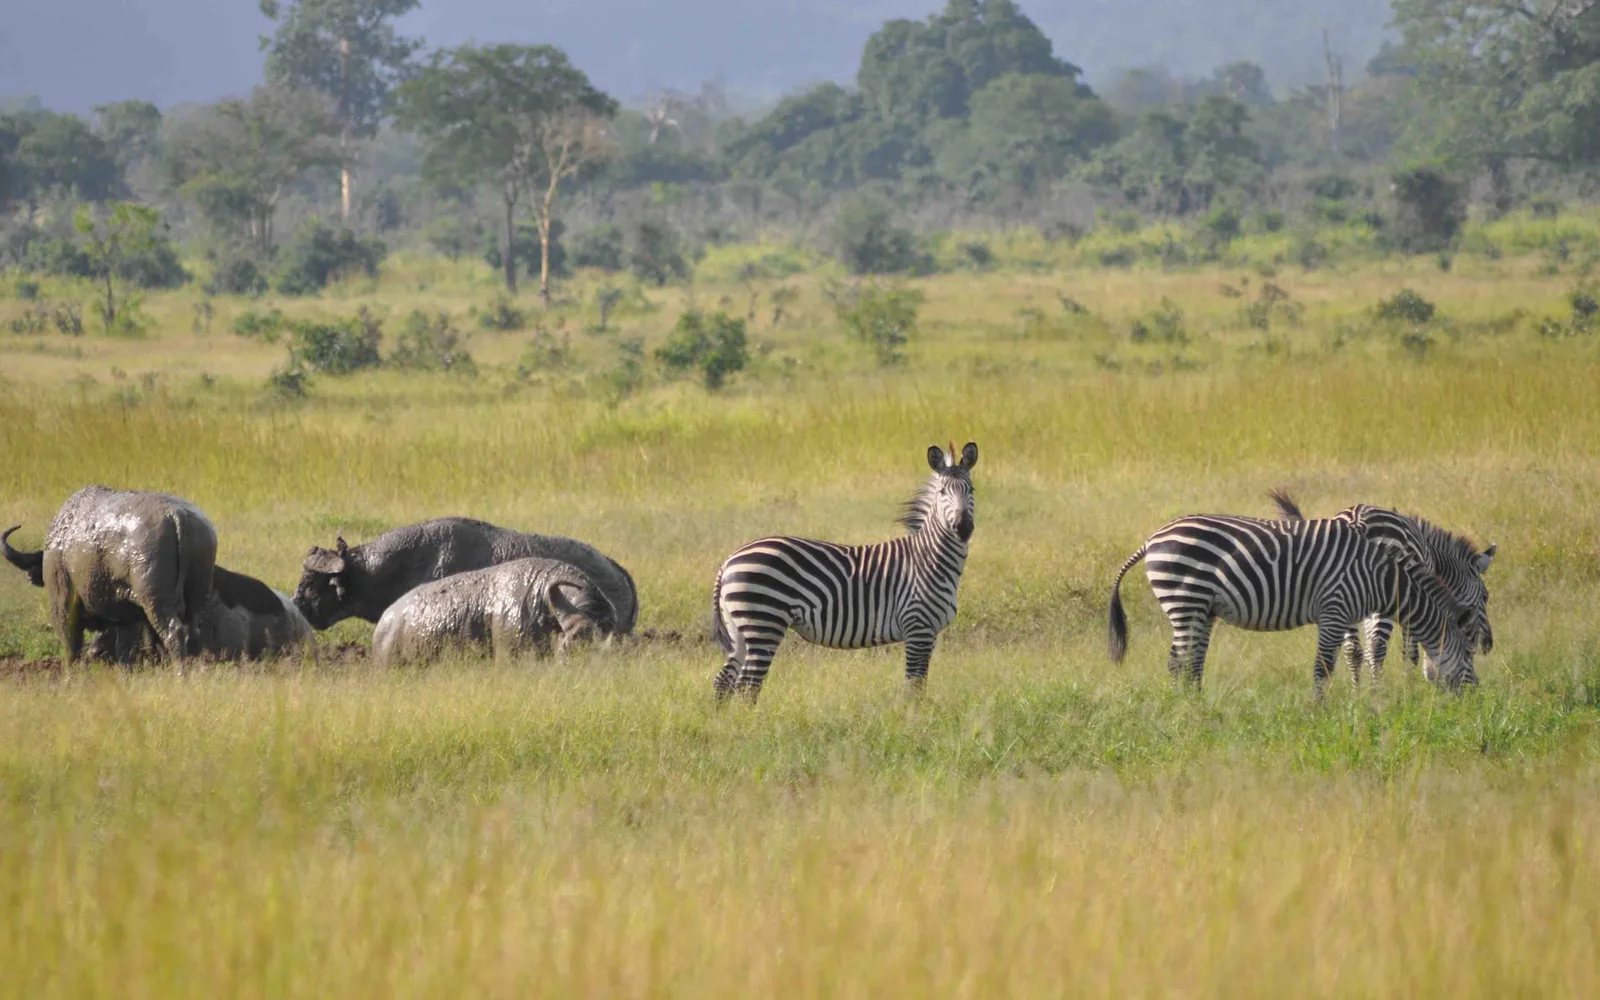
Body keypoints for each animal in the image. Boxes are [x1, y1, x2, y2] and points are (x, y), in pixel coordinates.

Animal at [711, 442, 978, 704]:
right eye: (942, 492)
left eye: (972, 490)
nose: (963, 527)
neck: (930, 559)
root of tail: (729, 561)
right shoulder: (917, 627)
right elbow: (914, 687)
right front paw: (912, 716)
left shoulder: (928, 633)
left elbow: (918, 685)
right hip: (765, 622)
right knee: (747, 686)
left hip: (740, 629)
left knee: (723, 681)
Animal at [1107, 514, 1479, 695]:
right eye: (1469, 650)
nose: (1476, 694)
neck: (1379, 577)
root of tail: (1152, 539)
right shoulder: (1334, 609)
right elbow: (1323, 668)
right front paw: (1319, 712)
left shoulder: (1346, 614)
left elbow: (1346, 658)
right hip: (1185, 599)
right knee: (1177, 663)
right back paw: (1183, 709)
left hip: (1200, 610)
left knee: (1192, 663)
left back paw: (1197, 706)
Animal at [1269, 490, 1495, 682]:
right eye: (1485, 596)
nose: (1488, 645)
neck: (1433, 558)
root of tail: (1356, 521)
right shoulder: (1411, 596)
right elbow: (1410, 651)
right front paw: (1410, 685)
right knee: (1377, 648)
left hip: (1341, 593)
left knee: (1353, 650)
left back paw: (1359, 694)